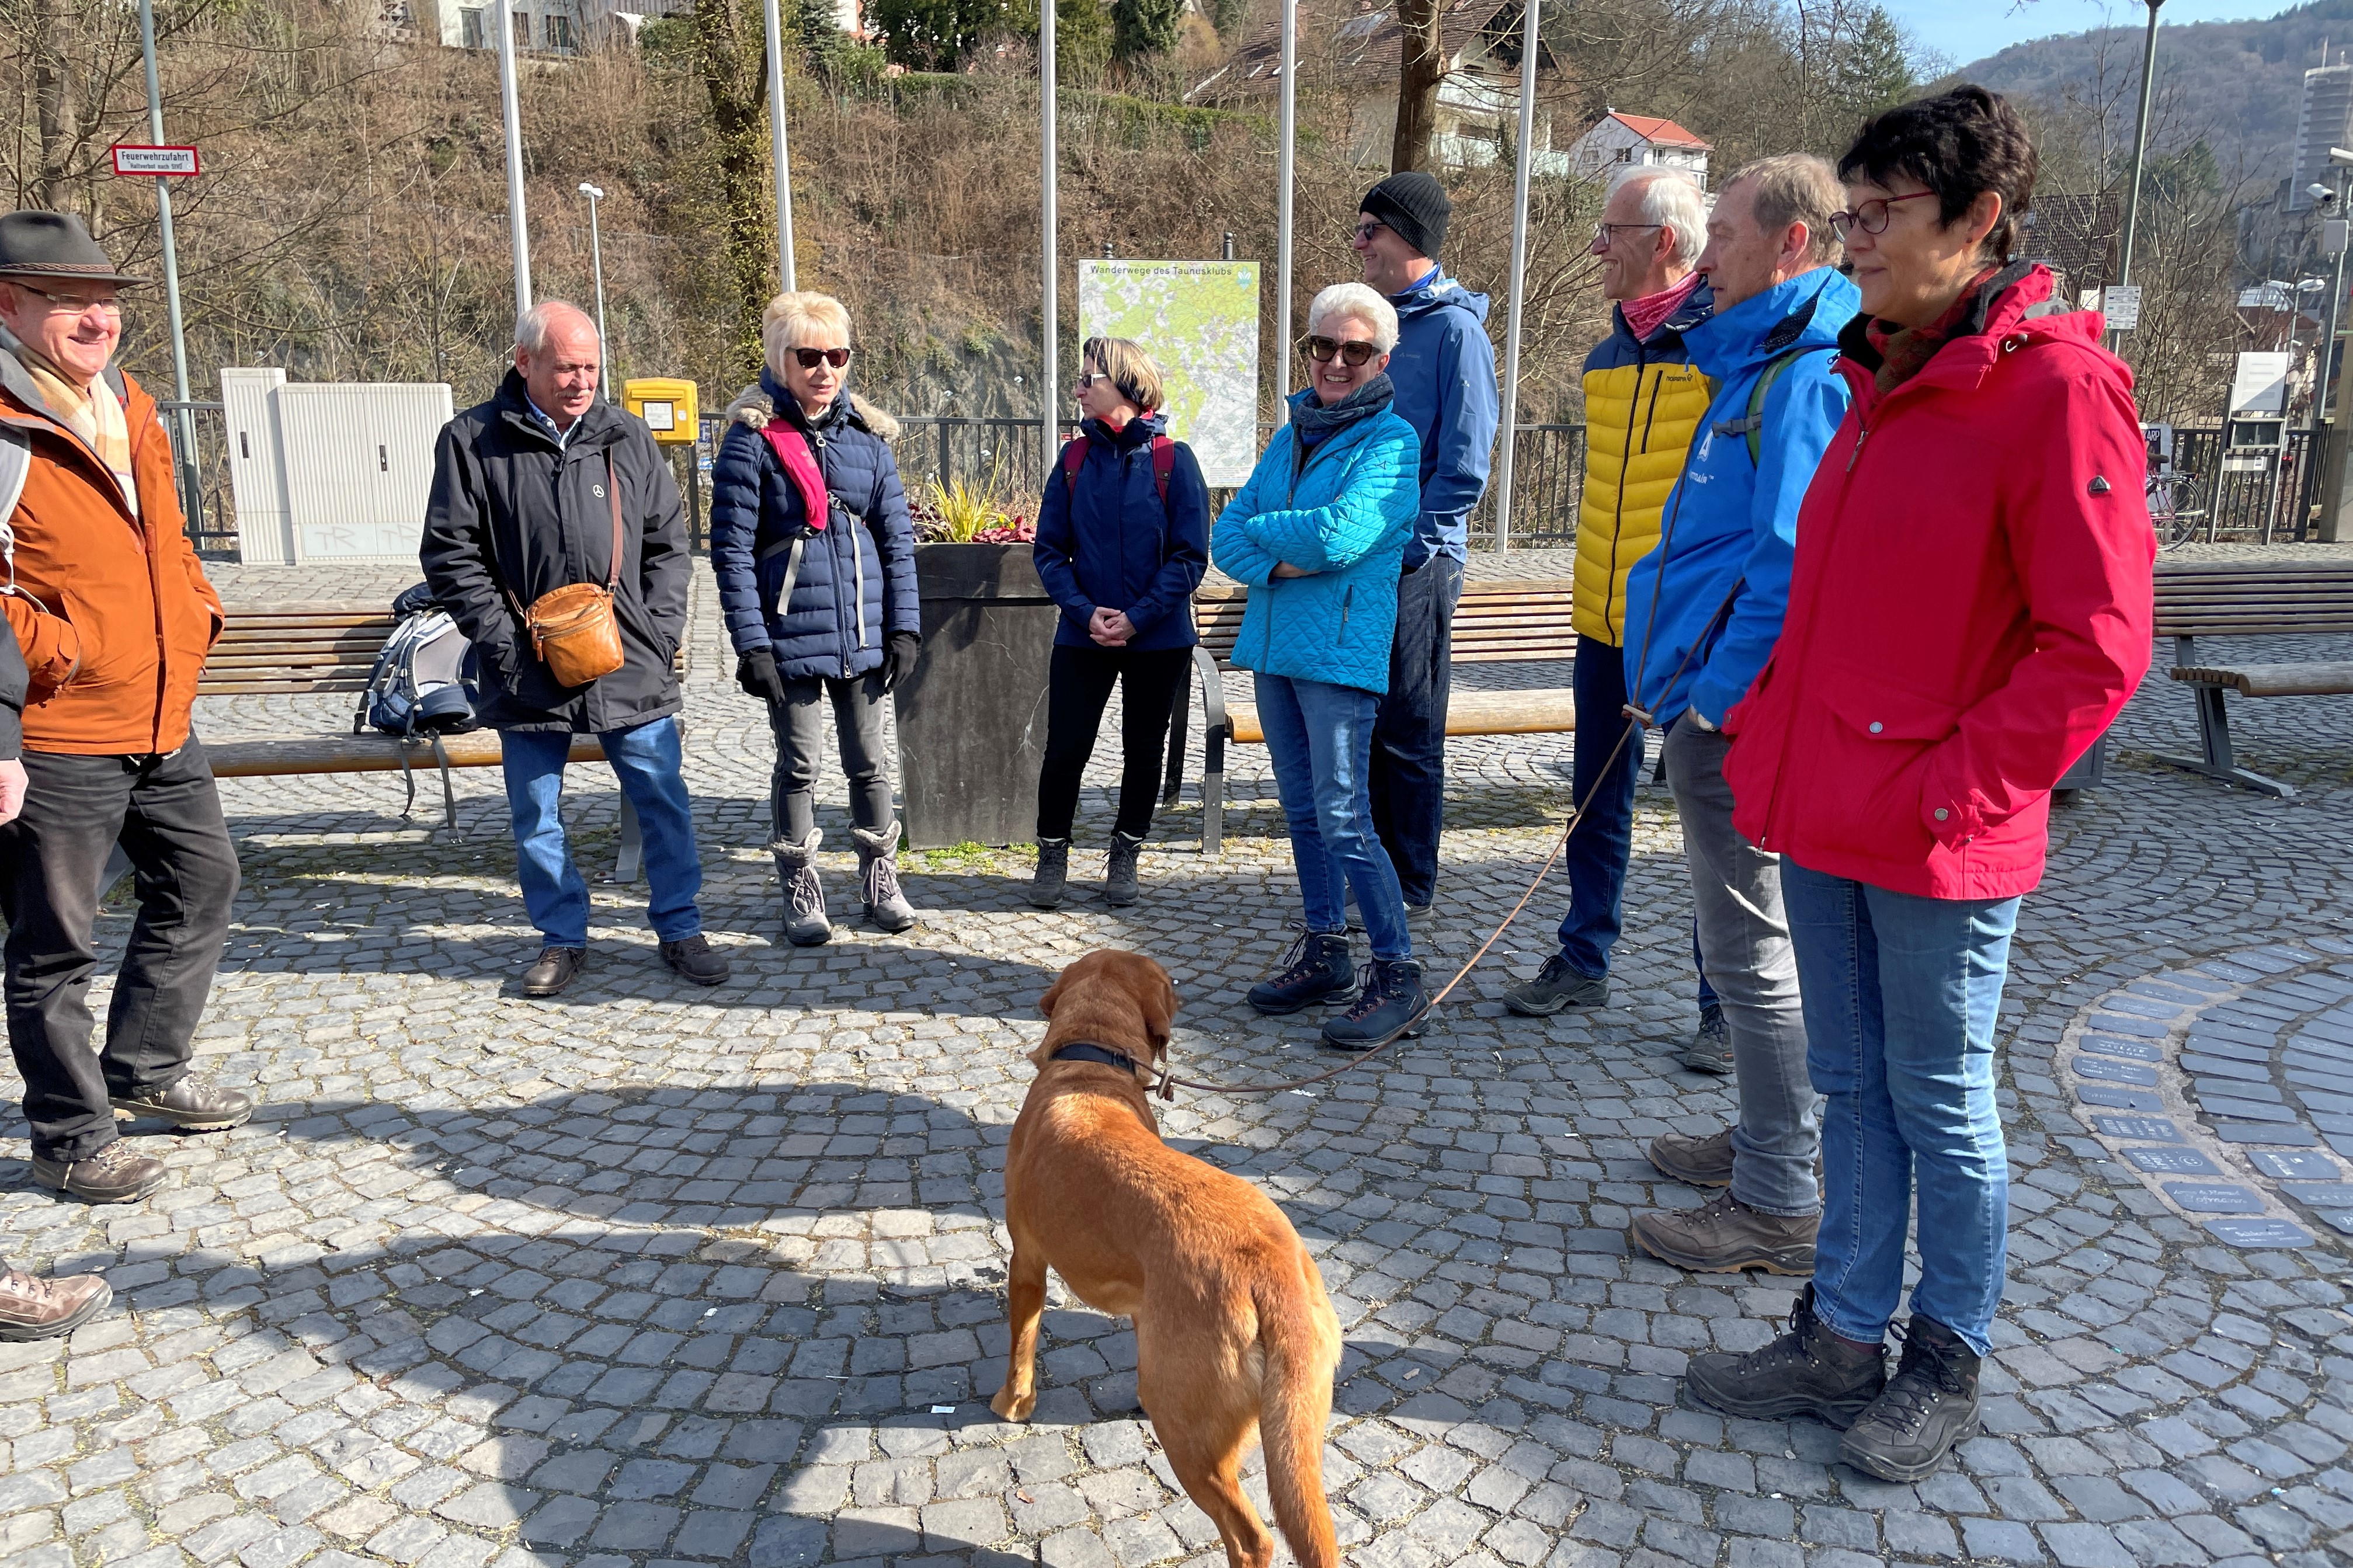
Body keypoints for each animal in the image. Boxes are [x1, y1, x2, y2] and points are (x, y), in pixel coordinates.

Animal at [993, 941, 1346, 1563]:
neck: (1090, 1067)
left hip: (1191, 1441)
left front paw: (1012, 1402)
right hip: (1297, 1419)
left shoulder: (1027, 1261)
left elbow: (1022, 1343)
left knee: (1251, 1537)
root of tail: (1268, 1266)